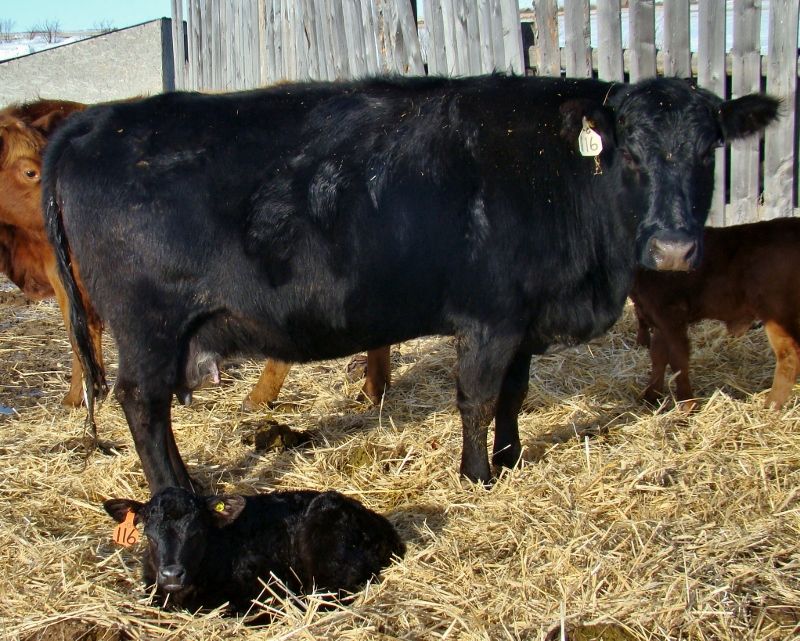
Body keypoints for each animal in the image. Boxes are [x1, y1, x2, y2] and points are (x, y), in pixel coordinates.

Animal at [43, 74, 779, 490]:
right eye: (631, 152)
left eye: (710, 149)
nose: (675, 247)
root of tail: (92, 121)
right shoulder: (490, 317)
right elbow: (477, 398)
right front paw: (477, 477)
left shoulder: (523, 321)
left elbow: (513, 397)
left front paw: (511, 461)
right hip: (149, 325)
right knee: (142, 406)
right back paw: (178, 492)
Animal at [631, 217, 800, 411]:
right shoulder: (657, 317)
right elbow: (658, 356)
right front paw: (651, 395)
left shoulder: (672, 315)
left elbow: (678, 358)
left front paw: (687, 404)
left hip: (776, 311)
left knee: (789, 355)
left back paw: (771, 405)